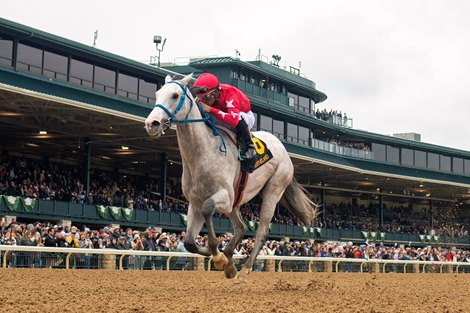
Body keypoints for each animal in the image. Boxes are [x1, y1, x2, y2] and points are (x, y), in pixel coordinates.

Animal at [145, 73, 318, 280]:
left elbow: (208, 209)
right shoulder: (195, 202)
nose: (151, 123)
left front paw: (219, 256)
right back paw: (229, 258)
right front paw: (220, 256)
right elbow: (189, 242)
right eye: (157, 94)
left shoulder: (223, 198)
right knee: (241, 227)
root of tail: (283, 149)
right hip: (238, 198)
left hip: (273, 189)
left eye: (175, 95)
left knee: (261, 232)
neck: (203, 153)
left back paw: (244, 269)